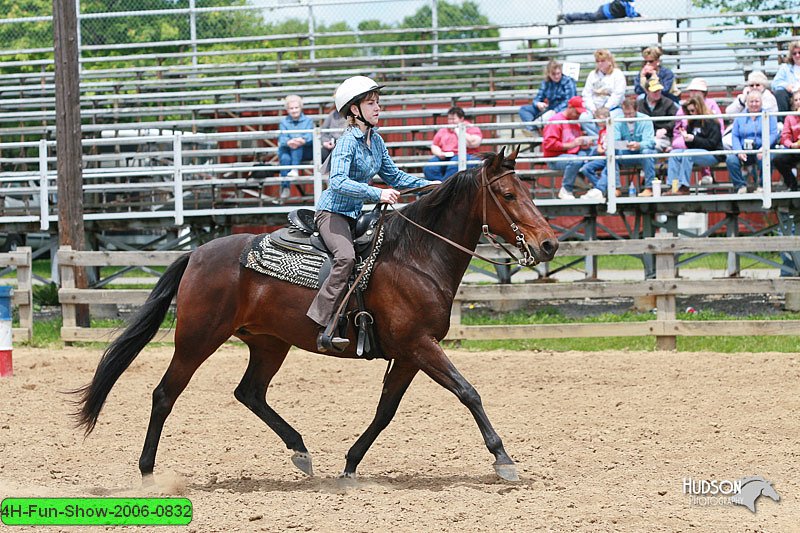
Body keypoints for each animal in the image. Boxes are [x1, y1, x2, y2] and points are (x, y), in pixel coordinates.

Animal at [75, 147, 560, 482]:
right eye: (508, 193)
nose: (549, 244)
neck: (416, 256)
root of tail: (196, 254)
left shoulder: (408, 354)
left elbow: (386, 411)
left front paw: (350, 465)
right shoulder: (420, 346)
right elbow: (468, 392)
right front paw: (504, 459)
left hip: (269, 344)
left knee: (250, 393)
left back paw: (301, 451)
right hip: (197, 340)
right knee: (164, 395)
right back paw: (147, 470)